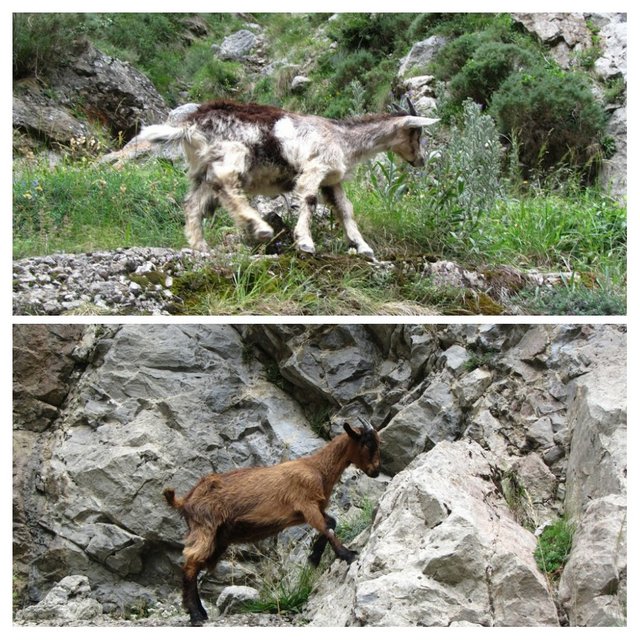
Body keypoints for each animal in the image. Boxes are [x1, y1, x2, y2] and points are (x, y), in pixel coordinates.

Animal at [132, 98, 438, 258]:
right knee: (227, 185)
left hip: (202, 169)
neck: (343, 138)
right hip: (232, 152)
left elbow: (345, 210)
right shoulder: (314, 168)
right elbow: (309, 199)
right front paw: (305, 242)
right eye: (417, 132)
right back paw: (259, 228)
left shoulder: (332, 179)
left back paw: (201, 247)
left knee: (195, 203)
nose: (421, 160)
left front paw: (363, 247)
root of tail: (189, 125)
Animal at [165, 420, 382, 624]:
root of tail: (186, 500)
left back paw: (199, 612)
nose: (376, 471)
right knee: (191, 563)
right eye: (366, 443)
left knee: (196, 564)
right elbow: (327, 529)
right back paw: (195, 615)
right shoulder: (306, 505)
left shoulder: (312, 510)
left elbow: (331, 523)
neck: (317, 468)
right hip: (206, 526)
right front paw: (348, 555)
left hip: (218, 537)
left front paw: (314, 557)